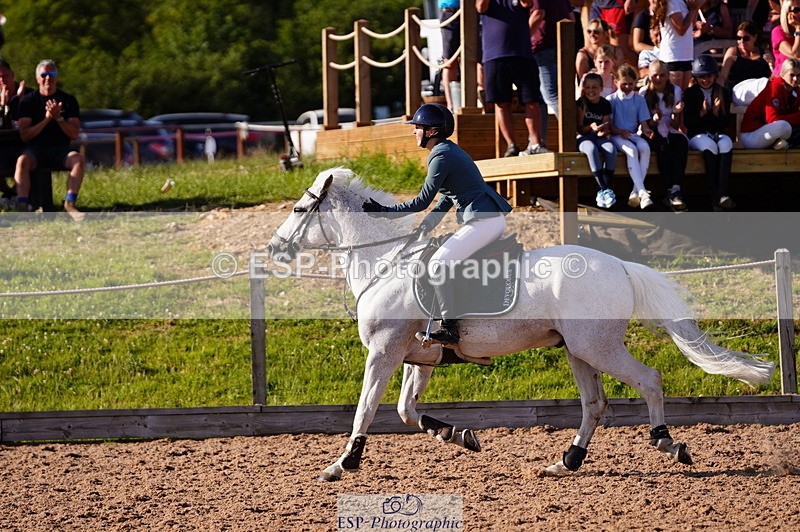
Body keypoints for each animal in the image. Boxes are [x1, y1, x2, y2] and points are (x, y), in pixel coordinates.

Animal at [267, 168, 775, 481]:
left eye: (298, 210)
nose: (274, 249)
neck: (386, 261)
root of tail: (621, 265)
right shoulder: (420, 357)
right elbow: (407, 410)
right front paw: (459, 435)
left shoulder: (384, 352)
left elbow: (367, 409)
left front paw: (342, 464)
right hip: (578, 350)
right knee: (595, 404)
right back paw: (566, 462)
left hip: (598, 348)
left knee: (649, 380)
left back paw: (668, 443)